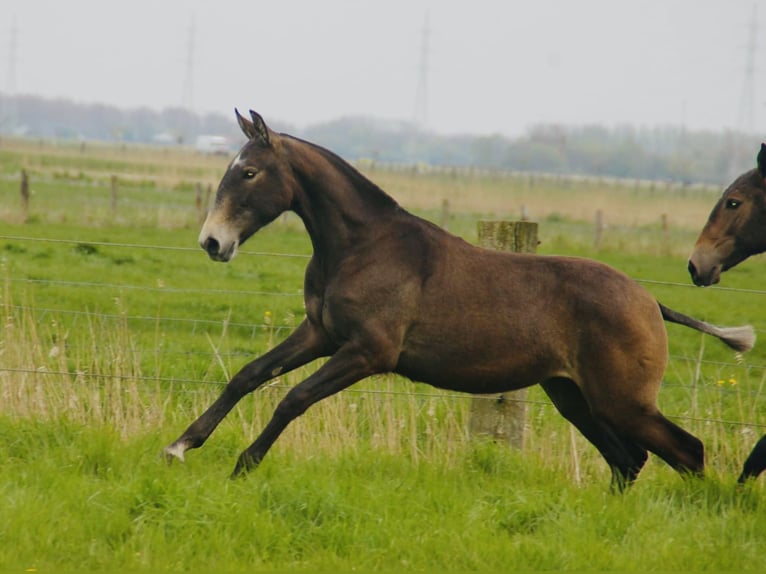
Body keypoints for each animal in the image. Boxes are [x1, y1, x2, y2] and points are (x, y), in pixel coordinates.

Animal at [165, 111, 760, 490]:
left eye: (248, 172)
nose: (212, 242)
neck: (362, 246)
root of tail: (650, 302)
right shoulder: (322, 334)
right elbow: (248, 376)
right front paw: (180, 446)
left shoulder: (367, 353)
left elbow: (293, 398)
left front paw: (243, 465)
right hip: (575, 397)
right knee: (630, 460)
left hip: (622, 401)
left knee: (685, 451)